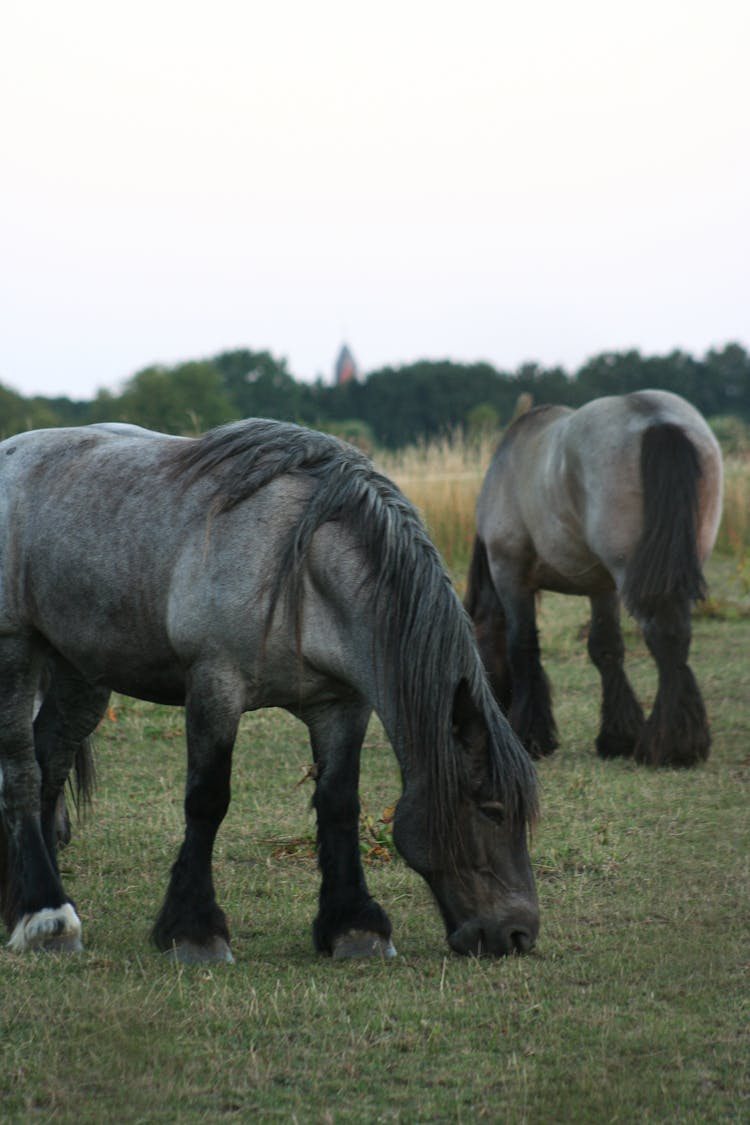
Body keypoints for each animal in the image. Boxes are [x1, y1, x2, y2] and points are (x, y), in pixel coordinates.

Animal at [0, 418, 539, 963]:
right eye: (492, 810)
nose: (519, 934)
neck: (305, 573)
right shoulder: (215, 686)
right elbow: (207, 800)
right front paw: (195, 931)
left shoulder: (342, 704)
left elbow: (339, 802)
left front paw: (354, 926)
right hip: (17, 651)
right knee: (23, 773)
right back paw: (46, 917)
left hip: (80, 672)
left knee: (50, 765)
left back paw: (26, 900)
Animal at [465, 391, 724, 769]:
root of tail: (654, 417)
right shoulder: (603, 587)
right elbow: (606, 649)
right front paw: (618, 737)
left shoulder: (509, 572)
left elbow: (522, 645)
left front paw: (530, 736)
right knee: (676, 637)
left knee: (663, 634)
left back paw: (669, 746)